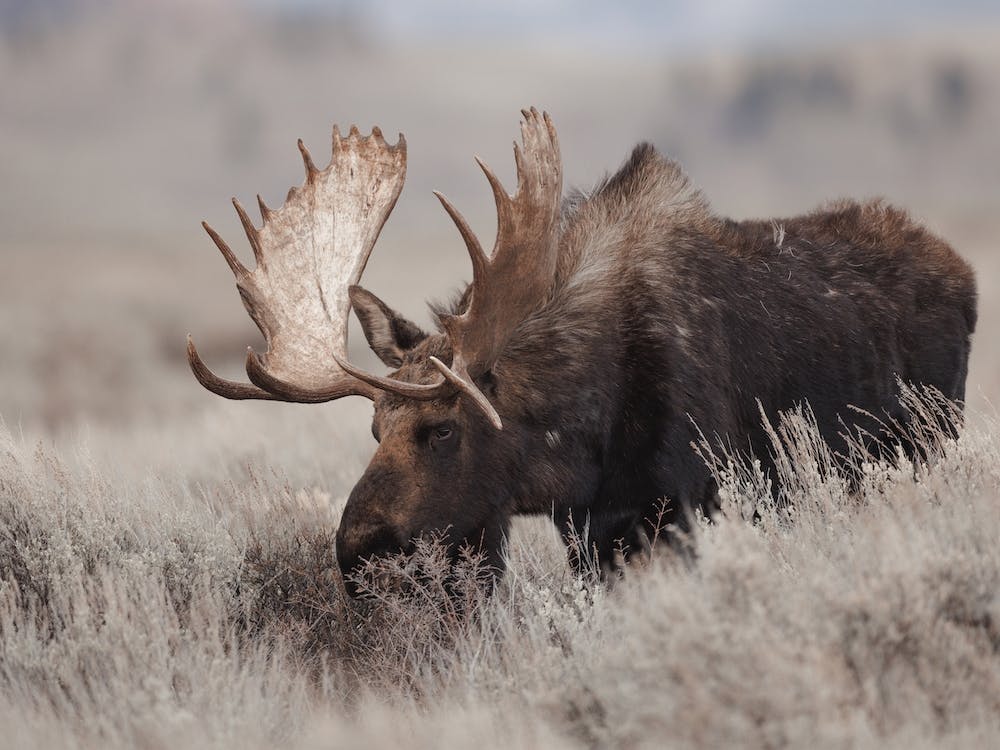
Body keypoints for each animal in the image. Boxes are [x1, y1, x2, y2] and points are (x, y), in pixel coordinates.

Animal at [187, 109, 977, 591]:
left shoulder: (688, 508)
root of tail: (962, 270)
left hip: (925, 447)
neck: (579, 441)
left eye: (442, 429)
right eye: (374, 428)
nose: (356, 553)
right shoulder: (592, 535)